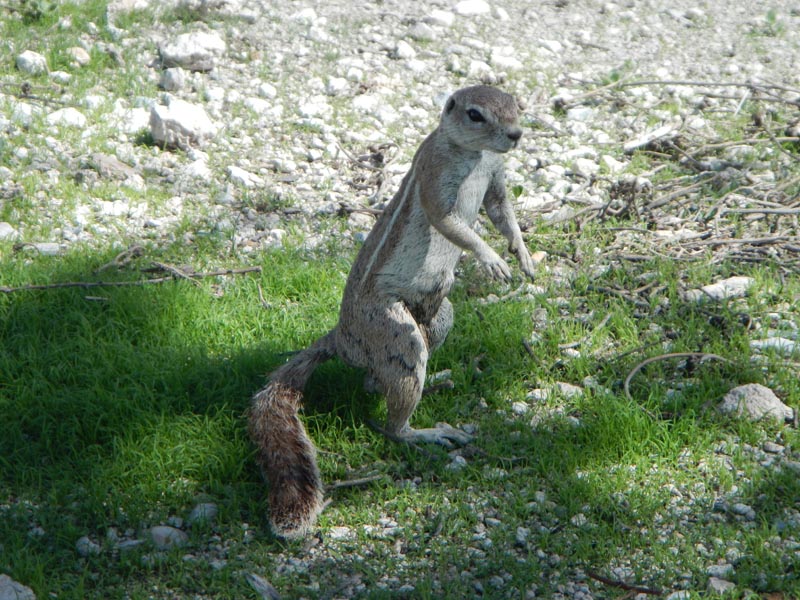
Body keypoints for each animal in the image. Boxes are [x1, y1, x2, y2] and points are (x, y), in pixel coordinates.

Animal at [250, 85, 536, 540]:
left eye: (516, 104)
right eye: (475, 114)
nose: (516, 135)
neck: (474, 156)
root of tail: (341, 338)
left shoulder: (496, 179)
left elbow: (503, 214)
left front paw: (522, 254)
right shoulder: (435, 179)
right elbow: (452, 224)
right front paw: (491, 258)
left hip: (439, 315)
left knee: (378, 379)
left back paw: (433, 379)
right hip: (394, 330)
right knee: (392, 420)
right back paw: (425, 432)